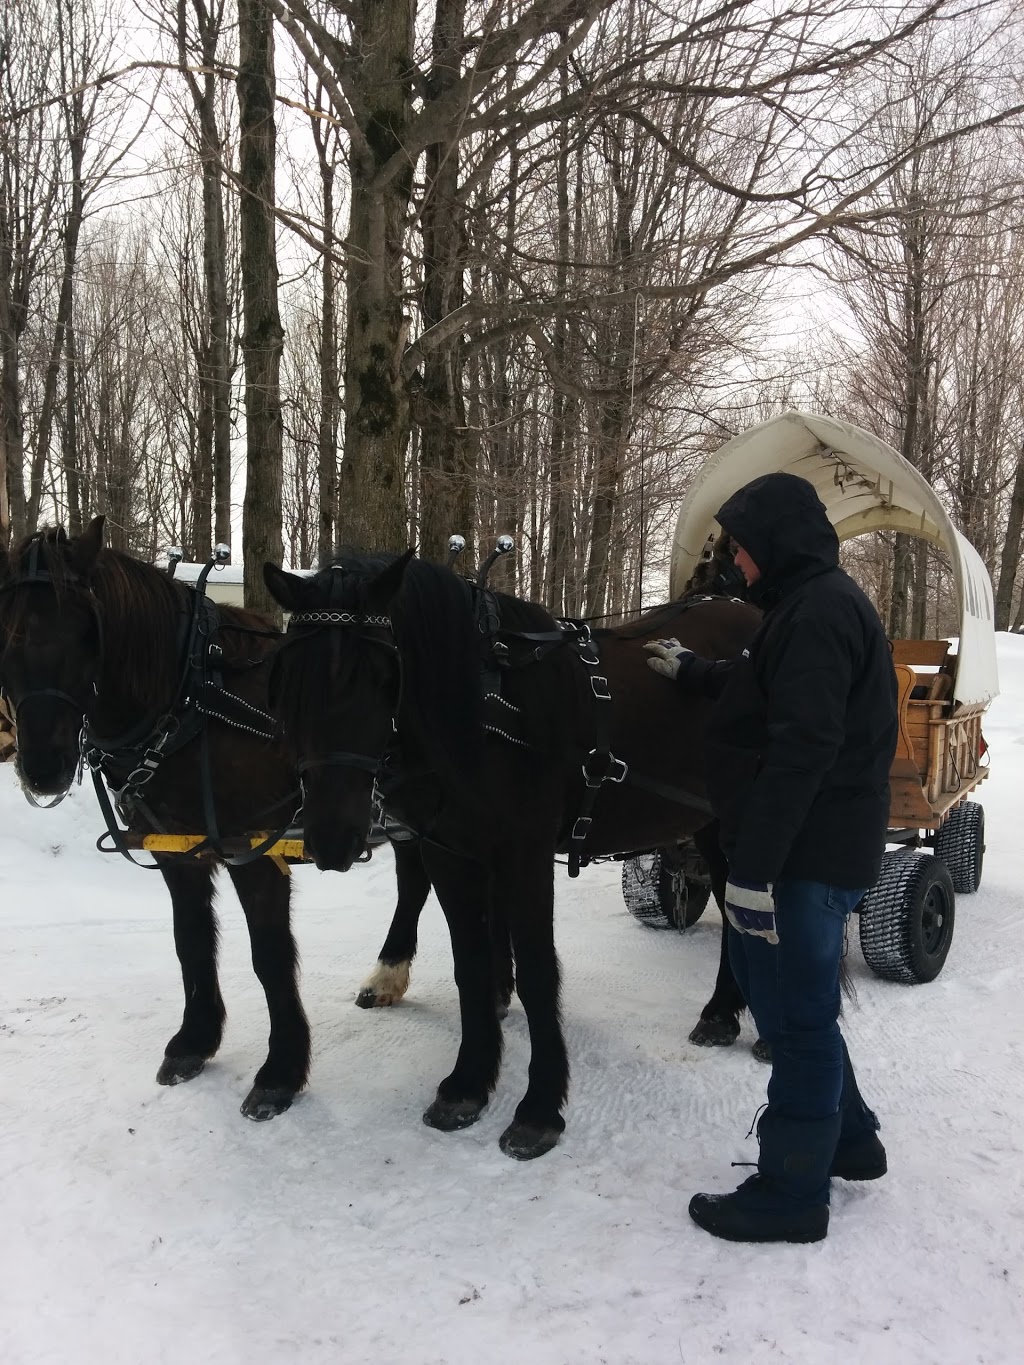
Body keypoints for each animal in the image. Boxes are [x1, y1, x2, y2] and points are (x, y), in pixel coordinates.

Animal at [0, 521, 434, 1119]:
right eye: (5, 635)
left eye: (87, 631)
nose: (43, 769)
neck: (192, 704)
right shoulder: (176, 852)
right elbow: (191, 941)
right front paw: (194, 1041)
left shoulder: (256, 852)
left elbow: (269, 956)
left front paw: (280, 1072)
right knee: (414, 879)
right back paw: (390, 975)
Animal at [264, 548, 764, 1157]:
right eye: (288, 679)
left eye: (385, 675)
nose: (332, 838)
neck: (489, 709)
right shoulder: (451, 854)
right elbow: (472, 966)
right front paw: (467, 1084)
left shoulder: (524, 855)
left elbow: (537, 971)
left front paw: (539, 1108)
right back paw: (722, 1015)